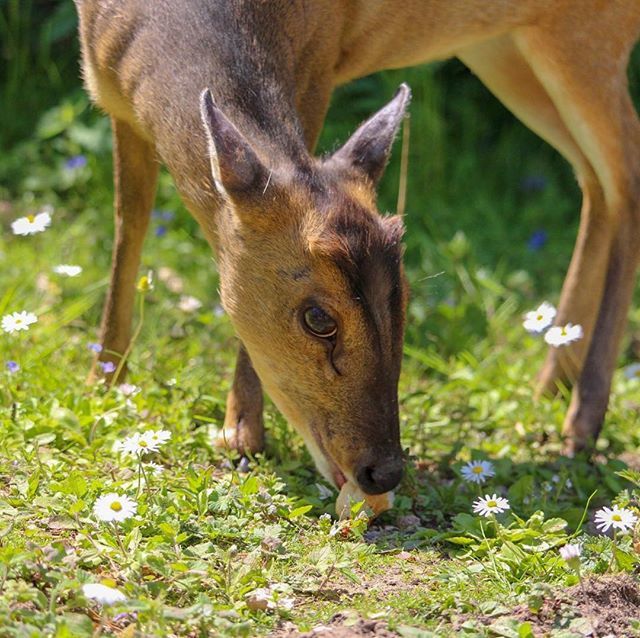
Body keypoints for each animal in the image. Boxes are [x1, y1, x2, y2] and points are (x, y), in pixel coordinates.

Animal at [74, 0, 640, 507]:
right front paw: (104, 379)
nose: (383, 471)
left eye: (403, 295)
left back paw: (582, 421)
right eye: (318, 318)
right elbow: (128, 221)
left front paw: (241, 434)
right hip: (505, 46)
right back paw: (551, 384)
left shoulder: (317, 62)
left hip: (590, 34)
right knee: (591, 179)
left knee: (622, 177)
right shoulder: (112, 95)